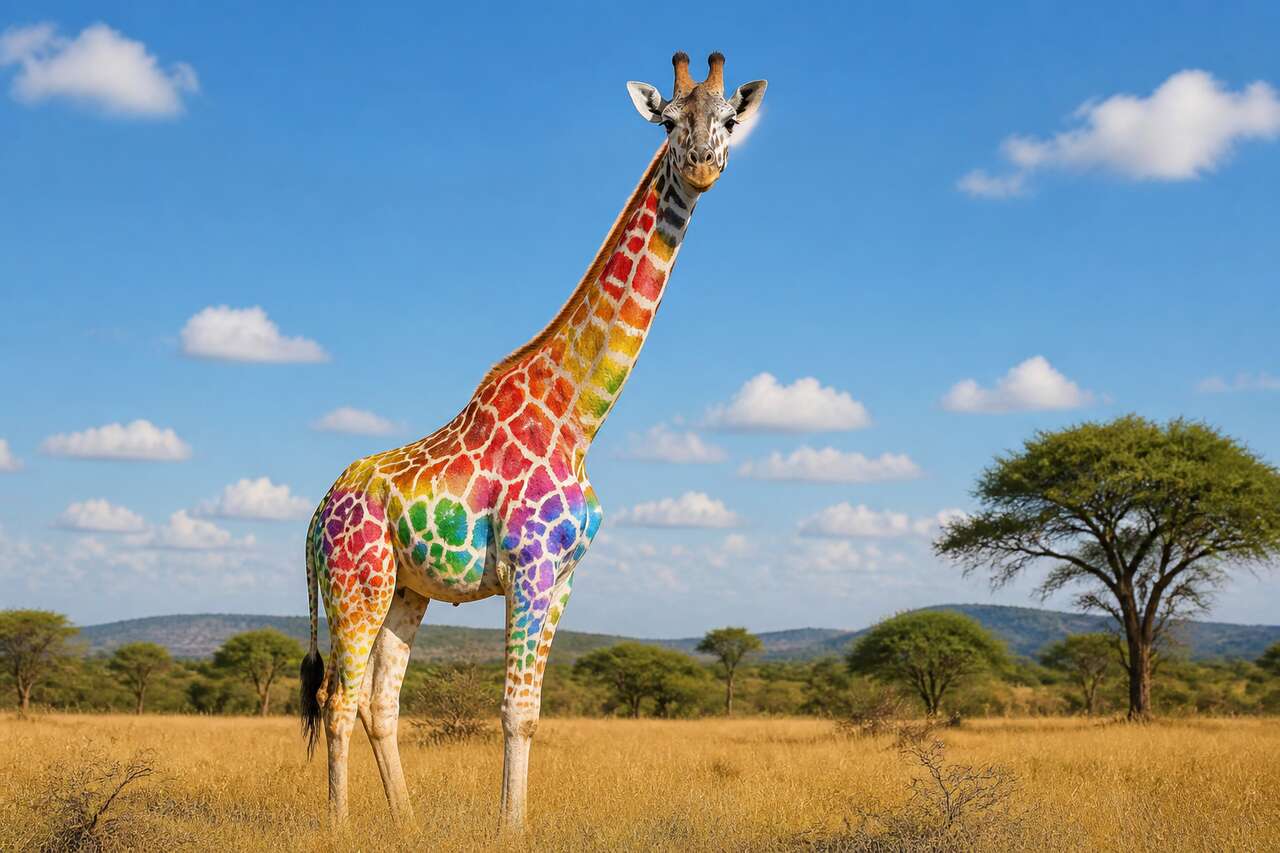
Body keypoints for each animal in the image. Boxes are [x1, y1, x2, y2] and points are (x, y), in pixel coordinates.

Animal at [299, 51, 767, 832]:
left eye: (729, 118)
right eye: (669, 121)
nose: (702, 163)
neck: (580, 418)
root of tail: (313, 517)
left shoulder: (567, 573)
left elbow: (534, 710)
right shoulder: (529, 564)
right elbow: (514, 709)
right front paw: (508, 828)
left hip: (405, 590)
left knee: (378, 700)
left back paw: (409, 824)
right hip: (354, 582)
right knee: (338, 699)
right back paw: (339, 829)